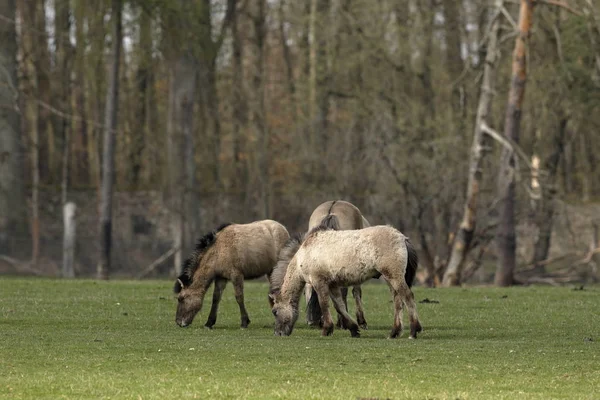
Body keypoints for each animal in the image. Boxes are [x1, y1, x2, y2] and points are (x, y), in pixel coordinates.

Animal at [270, 223, 420, 340]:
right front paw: (354, 329)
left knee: (408, 297)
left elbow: (324, 304)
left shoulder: (319, 282)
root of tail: (402, 237)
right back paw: (394, 332)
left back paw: (413, 331)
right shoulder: (332, 285)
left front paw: (326, 330)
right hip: (391, 279)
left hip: (394, 276)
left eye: (275, 312)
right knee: (398, 301)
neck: (306, 252)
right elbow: (339, 306)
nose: (278, 333)